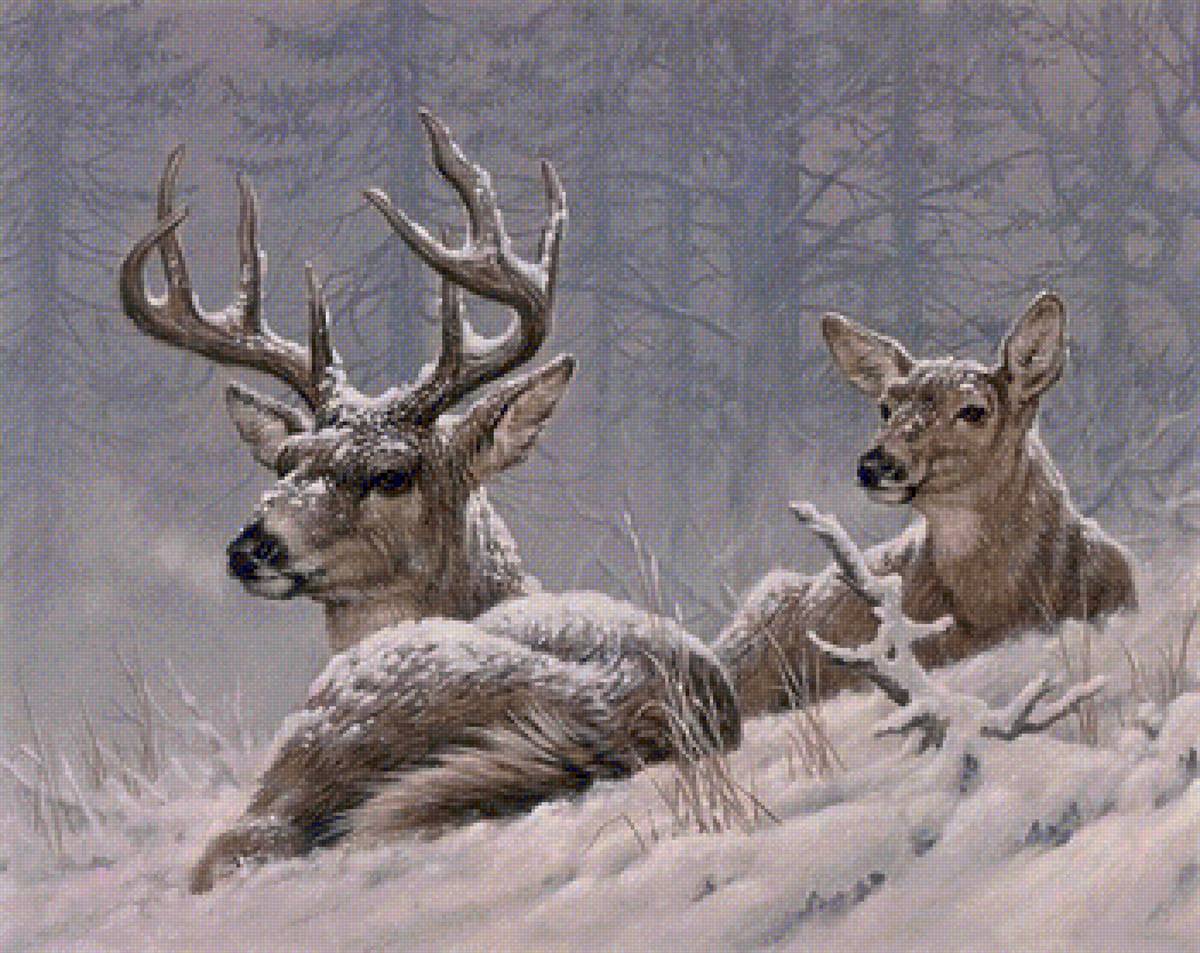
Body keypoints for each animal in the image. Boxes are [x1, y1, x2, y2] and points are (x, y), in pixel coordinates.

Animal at [119, 111, 739, 893]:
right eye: (288, 464)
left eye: (392, 475)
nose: (250, 546)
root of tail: (603, 719)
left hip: (346, 714)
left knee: (246, 843)